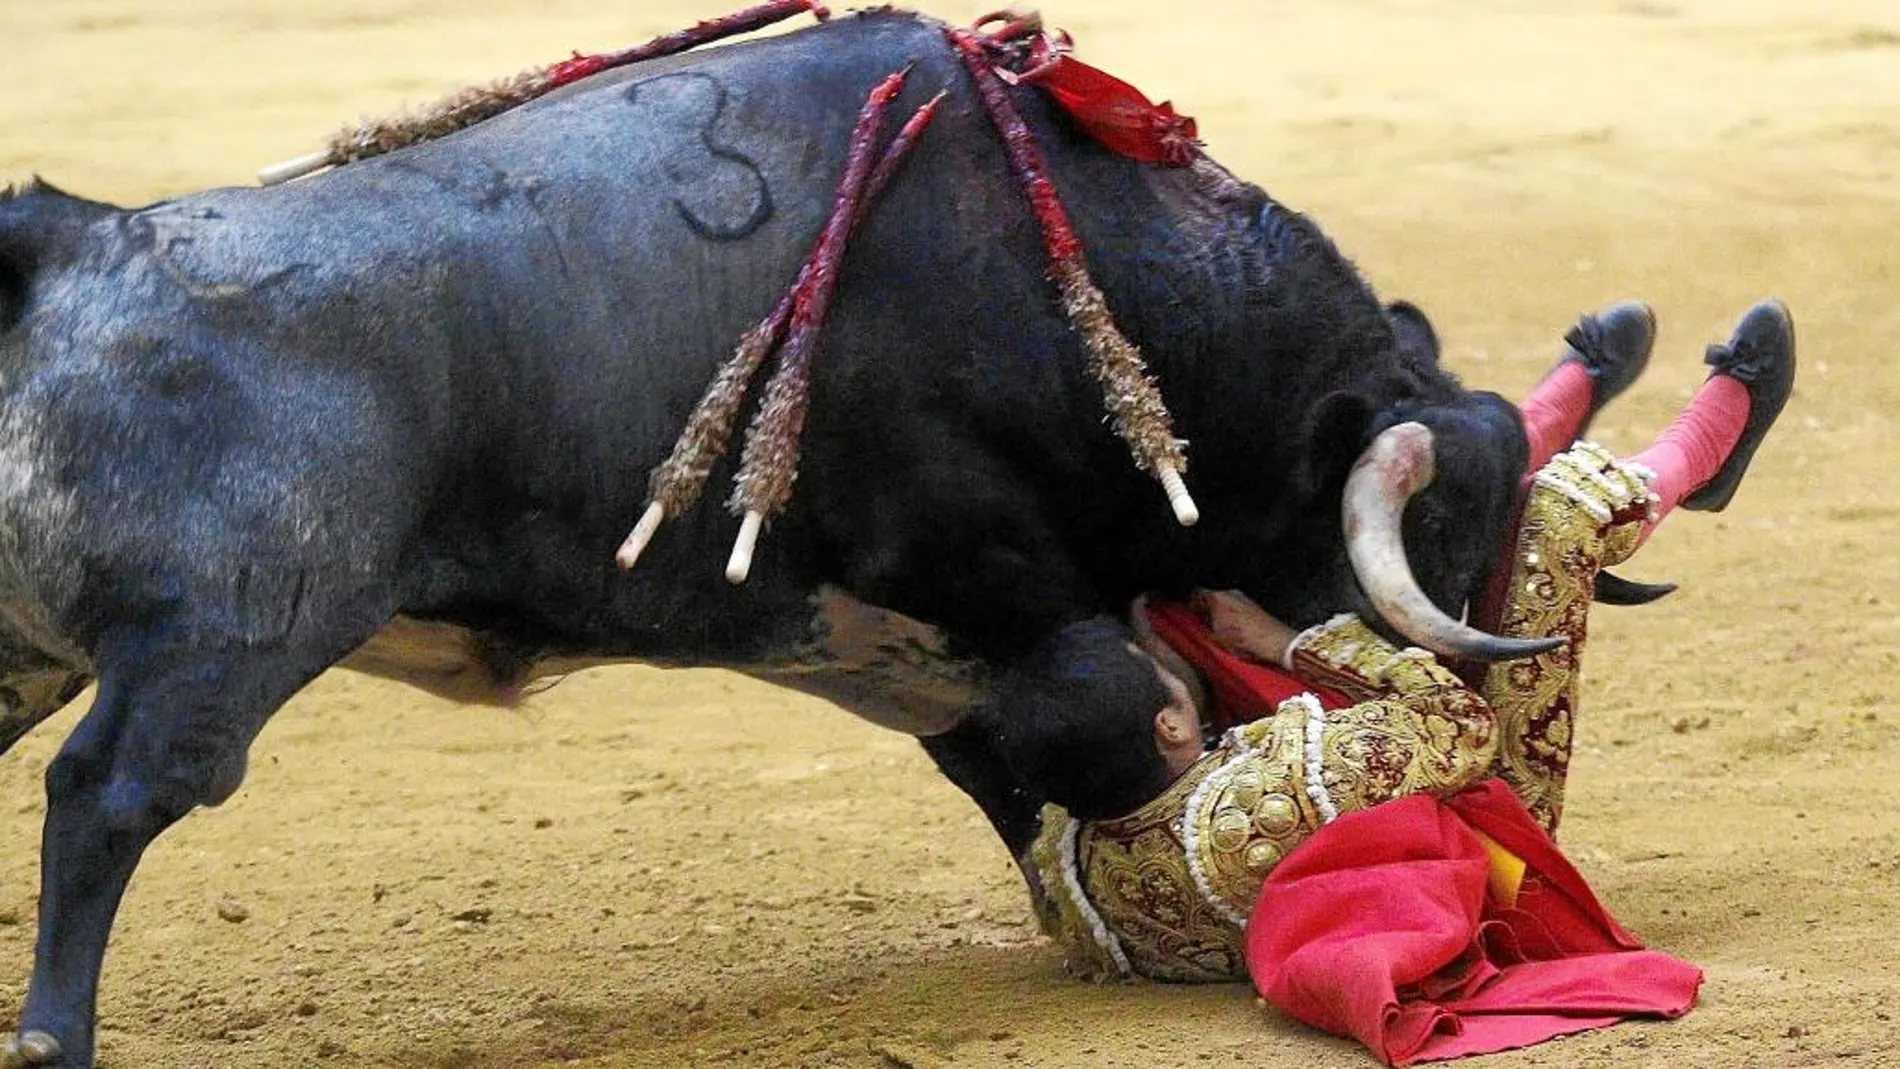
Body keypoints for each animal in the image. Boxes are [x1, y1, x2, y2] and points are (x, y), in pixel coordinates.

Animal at [0, 12, 1520, 1063]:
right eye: (1441, 522)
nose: (1498, 721)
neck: (1080, 272)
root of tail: (73, 246)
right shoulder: (992, 580)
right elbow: (1097, 723)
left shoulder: (901, 641)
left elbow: (1012, 766)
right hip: (224, 640)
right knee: (109, 795)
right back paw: (53, 1034)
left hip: (33, 652)